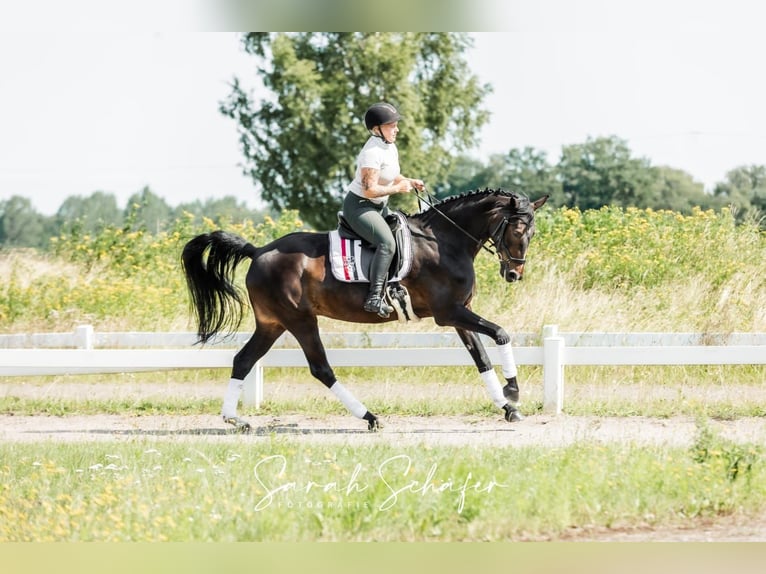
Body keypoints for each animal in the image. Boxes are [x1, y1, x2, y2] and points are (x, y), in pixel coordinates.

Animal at [183, 189, 548, 432]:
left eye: (532, 232)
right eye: (517, 230)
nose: (514, 274)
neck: (444, 241)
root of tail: (258, 251)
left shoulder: (461, 312)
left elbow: (481, 358)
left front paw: (508, 408)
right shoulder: (449, 312)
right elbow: (501, 334)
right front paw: (513, 391)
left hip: (272, 323)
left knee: (243, 360)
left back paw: (234, 418)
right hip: (299, 319)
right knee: (321, 368)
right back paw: (369, 417)